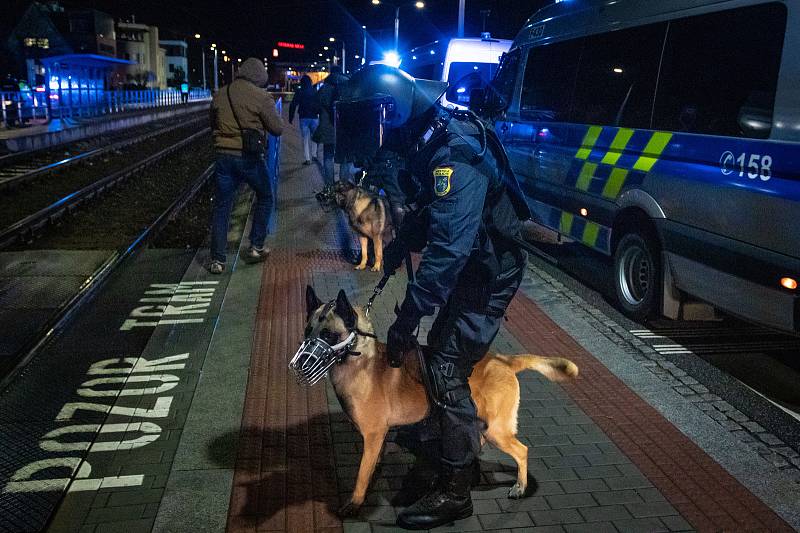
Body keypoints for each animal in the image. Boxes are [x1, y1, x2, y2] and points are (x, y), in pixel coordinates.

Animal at [290, 286, 580, 516]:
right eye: (307, 331)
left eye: (328, 335)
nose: (299, 365)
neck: (359, 360)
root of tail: (504, 360)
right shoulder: (379, 437)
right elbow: (372, 464)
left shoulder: (373, 435)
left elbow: (361, 473)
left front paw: (355, 502)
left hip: (497, 430)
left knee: (522, 451)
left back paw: (519, 486)